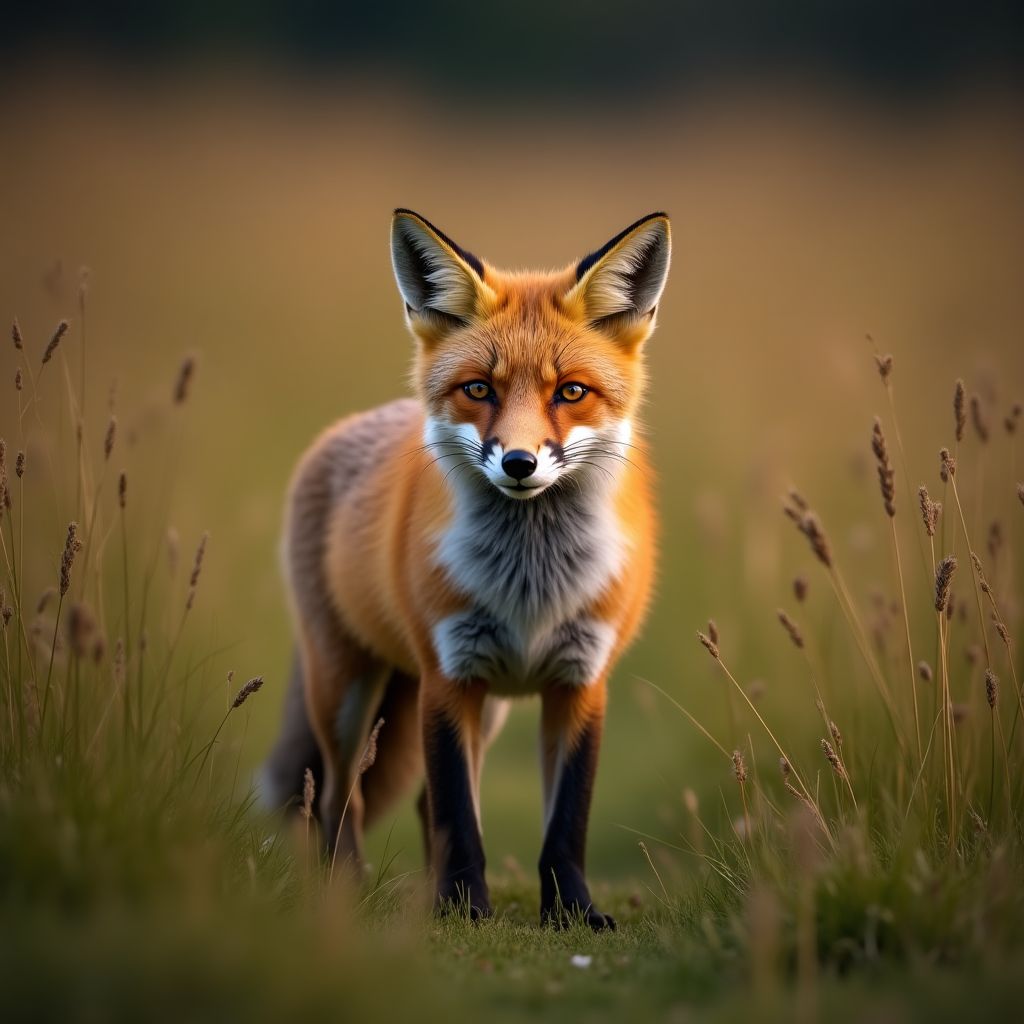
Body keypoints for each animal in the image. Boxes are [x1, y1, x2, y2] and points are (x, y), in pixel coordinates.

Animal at [263, 208, 670, 930]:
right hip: (345, 686)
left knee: (421, 802)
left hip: (487, 707)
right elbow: (458, 813)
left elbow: (563, 821)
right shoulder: (447, 673)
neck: (532, 585)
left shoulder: (581, 679)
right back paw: (348, 890)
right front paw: (463, 908)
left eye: (572, 392)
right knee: (340, 798)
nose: (518, 462)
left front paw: (572, 912)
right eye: (479, 389)